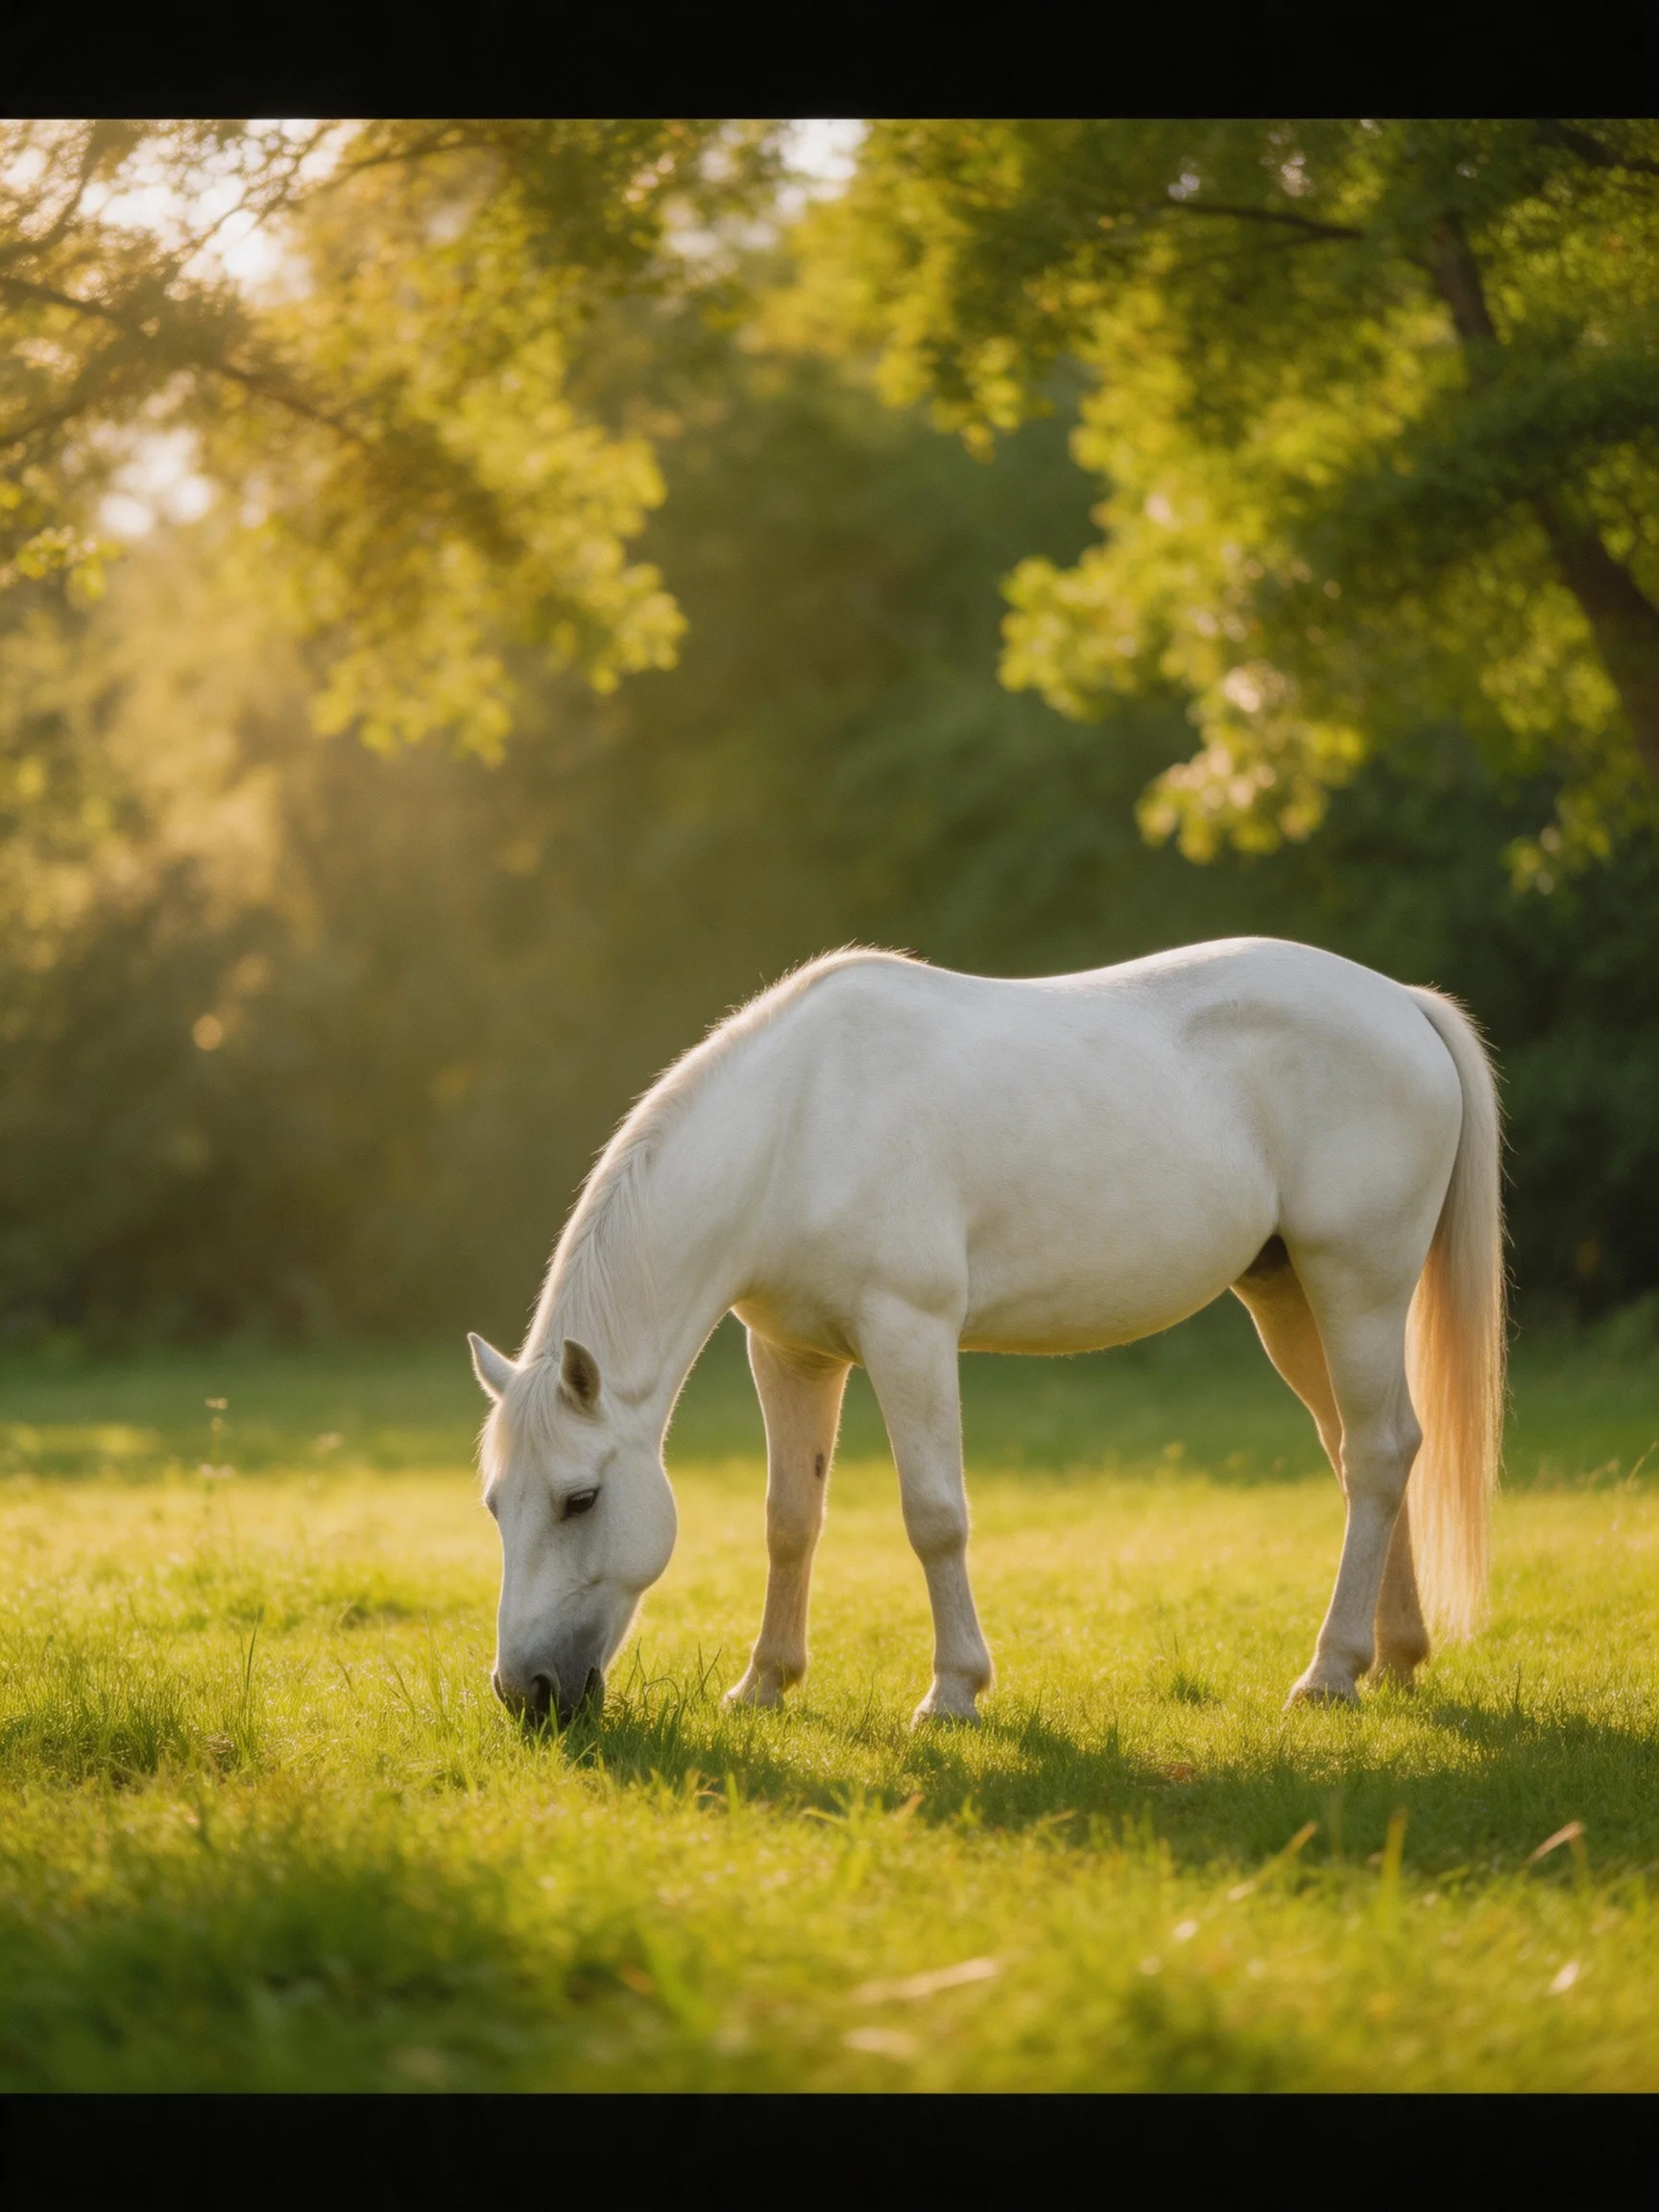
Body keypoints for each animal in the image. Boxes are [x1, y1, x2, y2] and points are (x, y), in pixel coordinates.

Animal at [469, 937, 1503, 1728]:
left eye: (579, 1499)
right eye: (494, 1504)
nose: (528, 1692)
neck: (797, 1125)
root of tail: (1403, 1005)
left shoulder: (910, 1335)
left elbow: (935, 1516)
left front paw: (953, 1694)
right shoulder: (792, 1354)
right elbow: (790, 1518)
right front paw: (763, 1684)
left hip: (1357, 1285)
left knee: (1377, 1454)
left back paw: (1329, 1673)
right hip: (1288, 1299)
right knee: (1364, 1452)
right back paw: (1392, 1656)